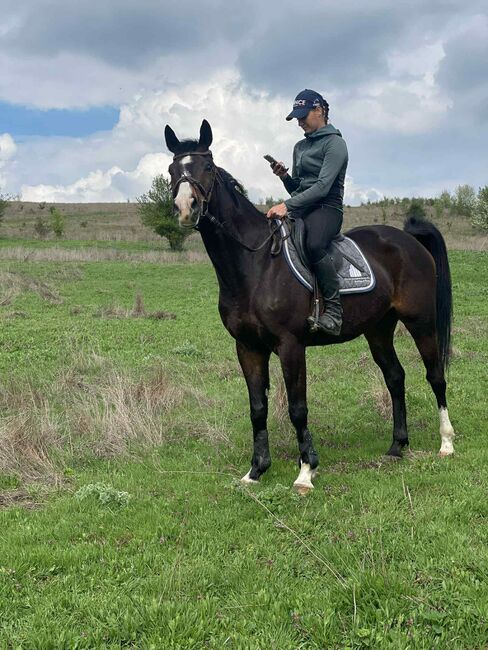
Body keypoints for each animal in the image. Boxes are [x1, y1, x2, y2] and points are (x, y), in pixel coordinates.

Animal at [164, 119, 455, 494]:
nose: (187, 207)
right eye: (172, 170)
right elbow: (257, 407)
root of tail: (407, 239)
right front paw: (256, 470)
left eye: (208, 168)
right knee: (395, 377)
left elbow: (297, 408)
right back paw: (396, 446)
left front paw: (305, 472)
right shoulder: (247, 347)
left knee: (435, 375)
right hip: (378, 329)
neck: (256, 263)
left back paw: (446, 443)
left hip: (420, 321)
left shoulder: (291, 346)